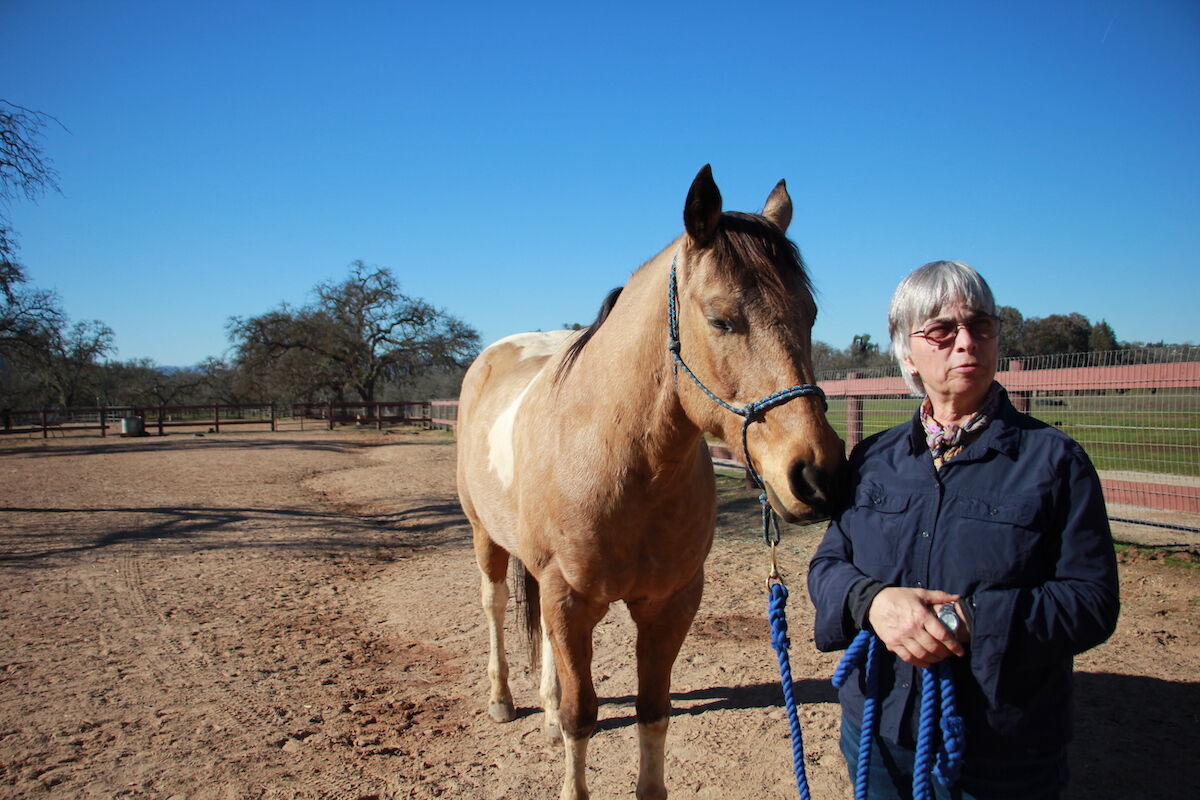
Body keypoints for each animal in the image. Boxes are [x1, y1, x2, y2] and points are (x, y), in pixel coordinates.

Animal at [455, 165, 845, 800]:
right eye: (720, 319)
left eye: (809, 315)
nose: (818, 475)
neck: (624, 466)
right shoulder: (570, 601)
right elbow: (583, 716)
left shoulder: (671, 603)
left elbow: (653, 711)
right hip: (484, 536)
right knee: (493, 607)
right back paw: (502, 700)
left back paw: (542, 710)